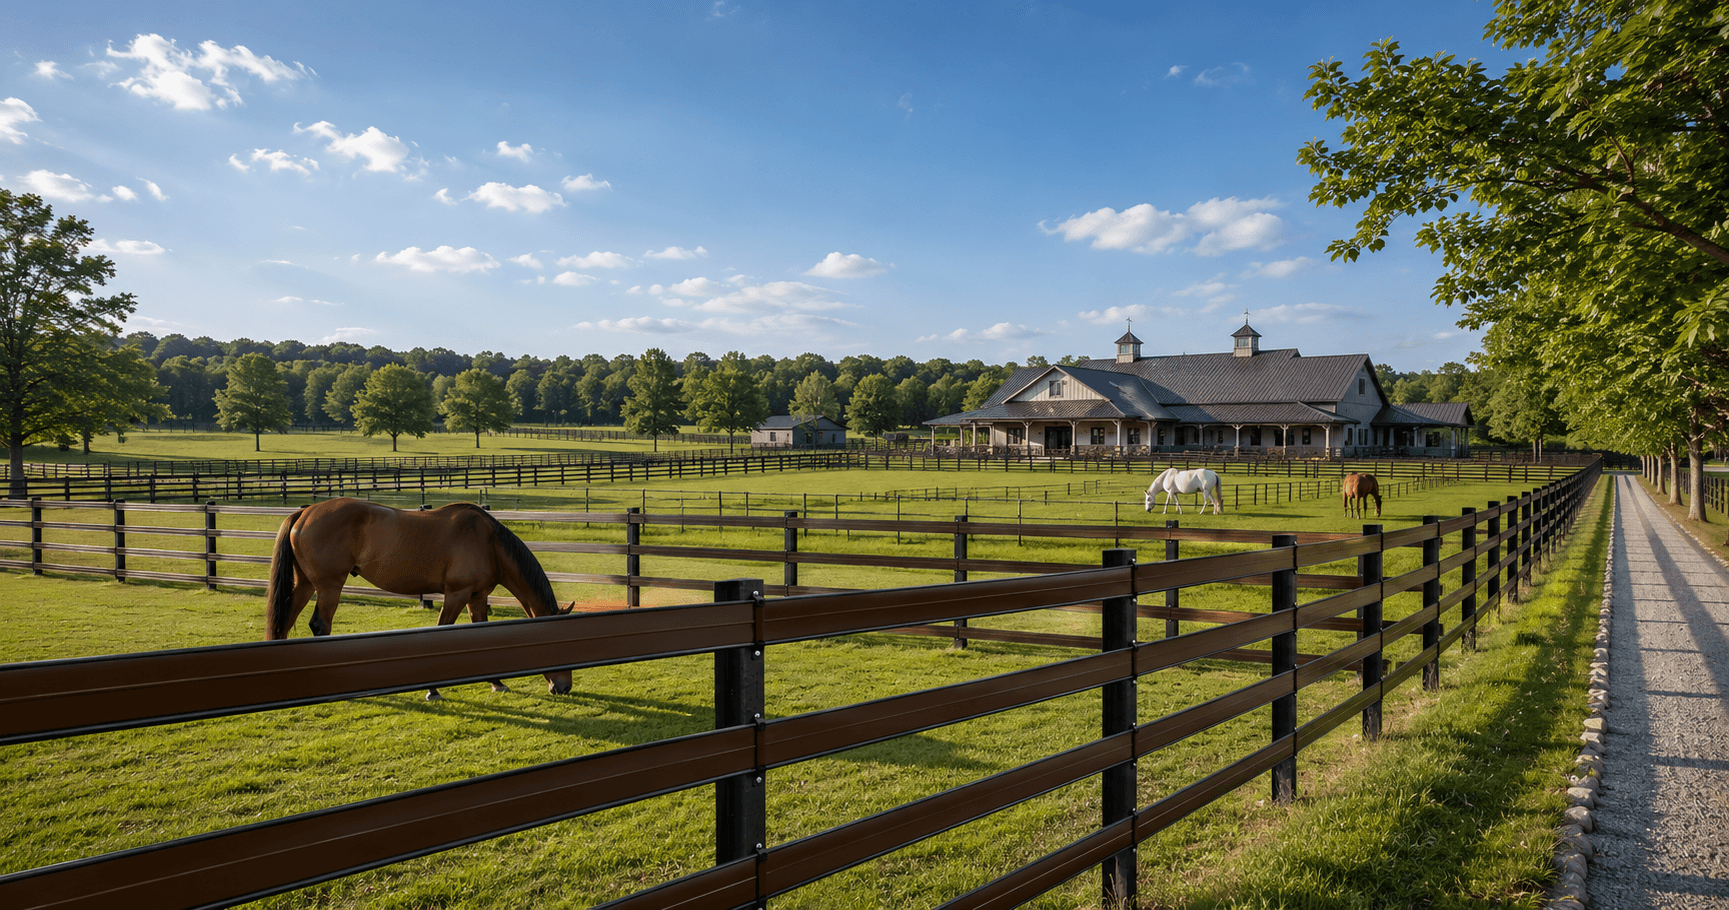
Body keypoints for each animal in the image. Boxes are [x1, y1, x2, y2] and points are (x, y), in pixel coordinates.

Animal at [264, 498, 575, 700]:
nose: (564, 688)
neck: (489, 542)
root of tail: (304, 513)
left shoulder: (477, 597)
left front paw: (496, 682)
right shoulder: (456, 594)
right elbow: (442, 633)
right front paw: (432, 689)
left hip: (305, 585)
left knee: (286, 621)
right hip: (329, 587)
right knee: (320, 626)